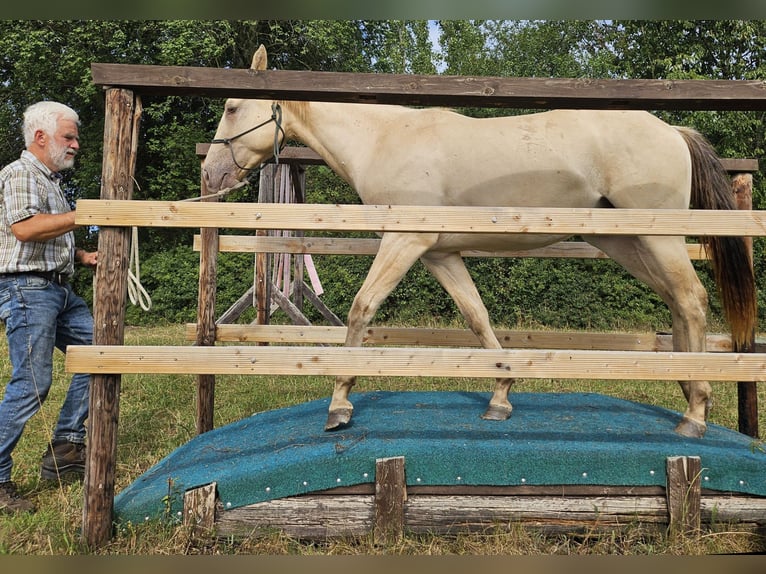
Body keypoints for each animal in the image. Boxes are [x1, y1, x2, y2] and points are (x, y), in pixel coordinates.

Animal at [202, 45, 757, 438]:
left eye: (231, 105)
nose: (210, 173)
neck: (383, 138)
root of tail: (673, 130)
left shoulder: (404, 240)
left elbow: (362, 308)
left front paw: (339, 405)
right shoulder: (440, 253)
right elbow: (477, 316)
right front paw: (501, 394)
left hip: (658, 237)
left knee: (691, 298)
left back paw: (695, 412)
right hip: (626, 242)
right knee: (677, 300)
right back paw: (688, 389)